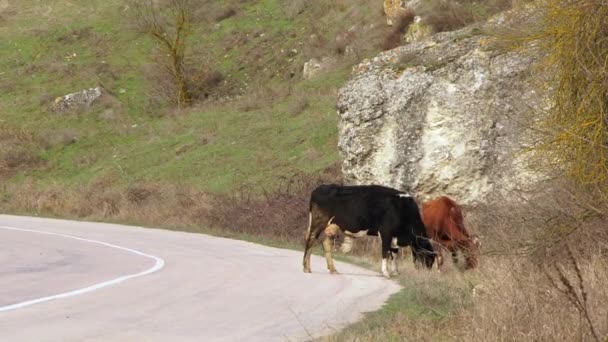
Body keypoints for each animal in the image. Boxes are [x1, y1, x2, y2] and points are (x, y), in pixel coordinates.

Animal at [302, 184, 434, 278]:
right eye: (428, 257)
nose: (427, 274)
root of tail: (319, 188)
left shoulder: (394, 237)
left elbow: (394, 254)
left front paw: (395, 272)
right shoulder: (386, 232)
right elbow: (385, 252)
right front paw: (386, 272)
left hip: (331, 226)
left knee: (325, 243)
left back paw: (333, 270)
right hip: (318, 222)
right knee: (310, 240)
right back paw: (306, 267)